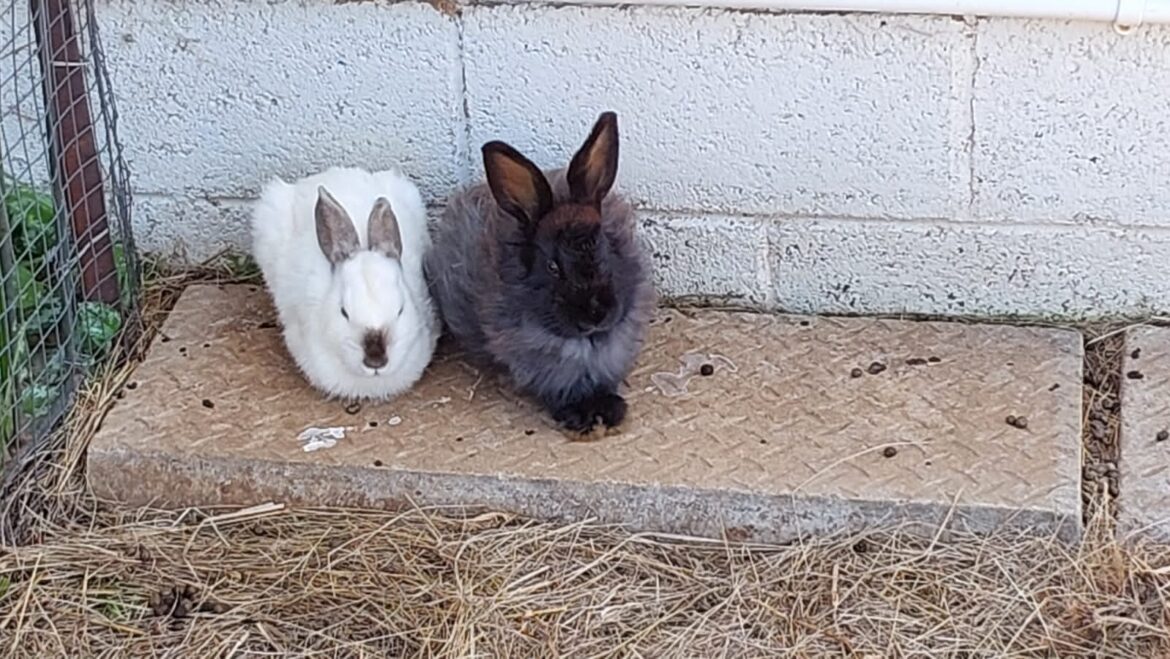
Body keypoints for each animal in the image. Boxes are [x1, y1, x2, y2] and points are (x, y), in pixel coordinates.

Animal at [425, 111, 655, 436]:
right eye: (553, 267)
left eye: (606, 247)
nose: (596, 314)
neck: (587, 342)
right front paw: (581, 416)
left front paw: (611, 409)